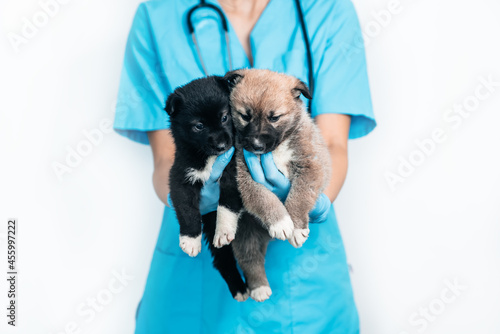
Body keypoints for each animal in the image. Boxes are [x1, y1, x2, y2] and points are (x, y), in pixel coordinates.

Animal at [165, 77, 249, 302]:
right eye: (199, 126)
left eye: (224, 117)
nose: (221, 146)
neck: (209, 159)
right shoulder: (181, 178)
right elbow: (187, 210)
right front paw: (190, 240)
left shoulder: (234, 172)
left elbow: (226, 204)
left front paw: (224, 230)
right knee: (222, 260)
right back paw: (239, 288)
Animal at [220, 69, 330, 302]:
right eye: (245, 116)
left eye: (274, 117)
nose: (256, 146)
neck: (277, 149)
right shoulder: (246, 178)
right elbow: (265, 199)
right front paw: (280, 222)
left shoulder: (310, 167)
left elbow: (298, 197)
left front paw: (296, 227)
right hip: (246, 232)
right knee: (250, 259)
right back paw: (259, 287)